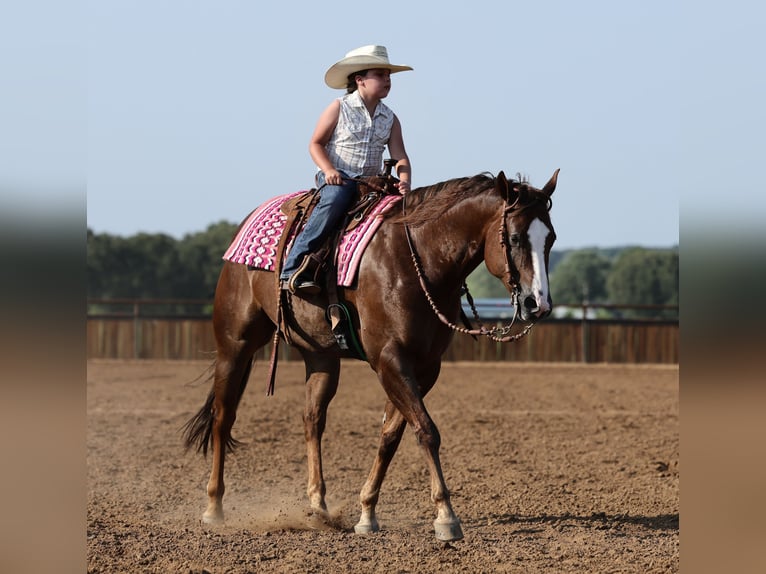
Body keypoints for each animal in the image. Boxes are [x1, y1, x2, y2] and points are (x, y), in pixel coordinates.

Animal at [183, 169, 559, 541]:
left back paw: (318, 506)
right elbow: (426, 430)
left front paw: (367, 512)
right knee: (223, 417)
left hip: (321, 357)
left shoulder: (425, 367)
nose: (537, 304)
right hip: (234, 344)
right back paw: (214, 507)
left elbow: (392, 435)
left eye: (551, 239)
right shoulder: (389, 359)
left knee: (312, 419)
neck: (417, 260)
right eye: (514, 238)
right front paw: (446, 516)